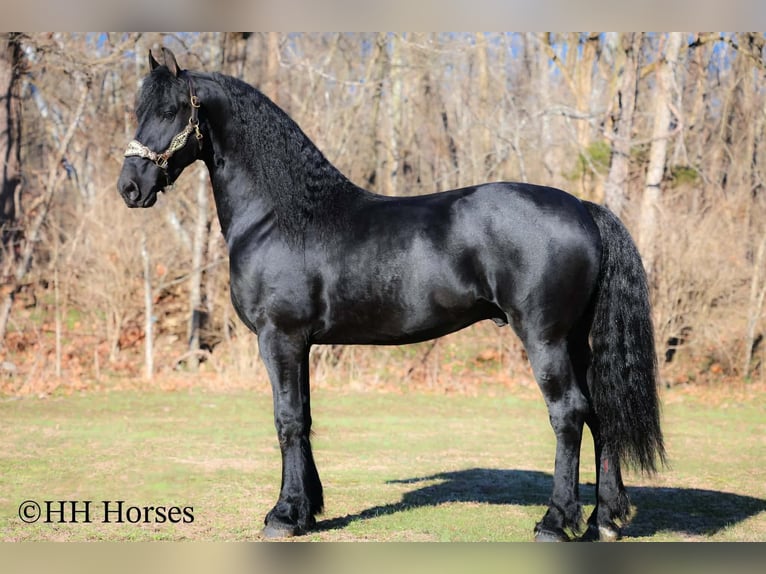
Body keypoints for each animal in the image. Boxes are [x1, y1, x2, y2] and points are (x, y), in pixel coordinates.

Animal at [117, 47, 665, 542]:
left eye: (171, 111)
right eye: (139, 109)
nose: (129, 187)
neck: (282, 215)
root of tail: (583, 207)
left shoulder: (280, 338)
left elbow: (287, 420)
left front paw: (283, 516)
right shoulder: (303, 344)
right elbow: (306, 418)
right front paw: (309, 510)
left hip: (545, 338)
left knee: (568, 414)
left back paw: (556, 522)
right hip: (576, 341)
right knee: (601, 415)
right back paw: (603, 521)